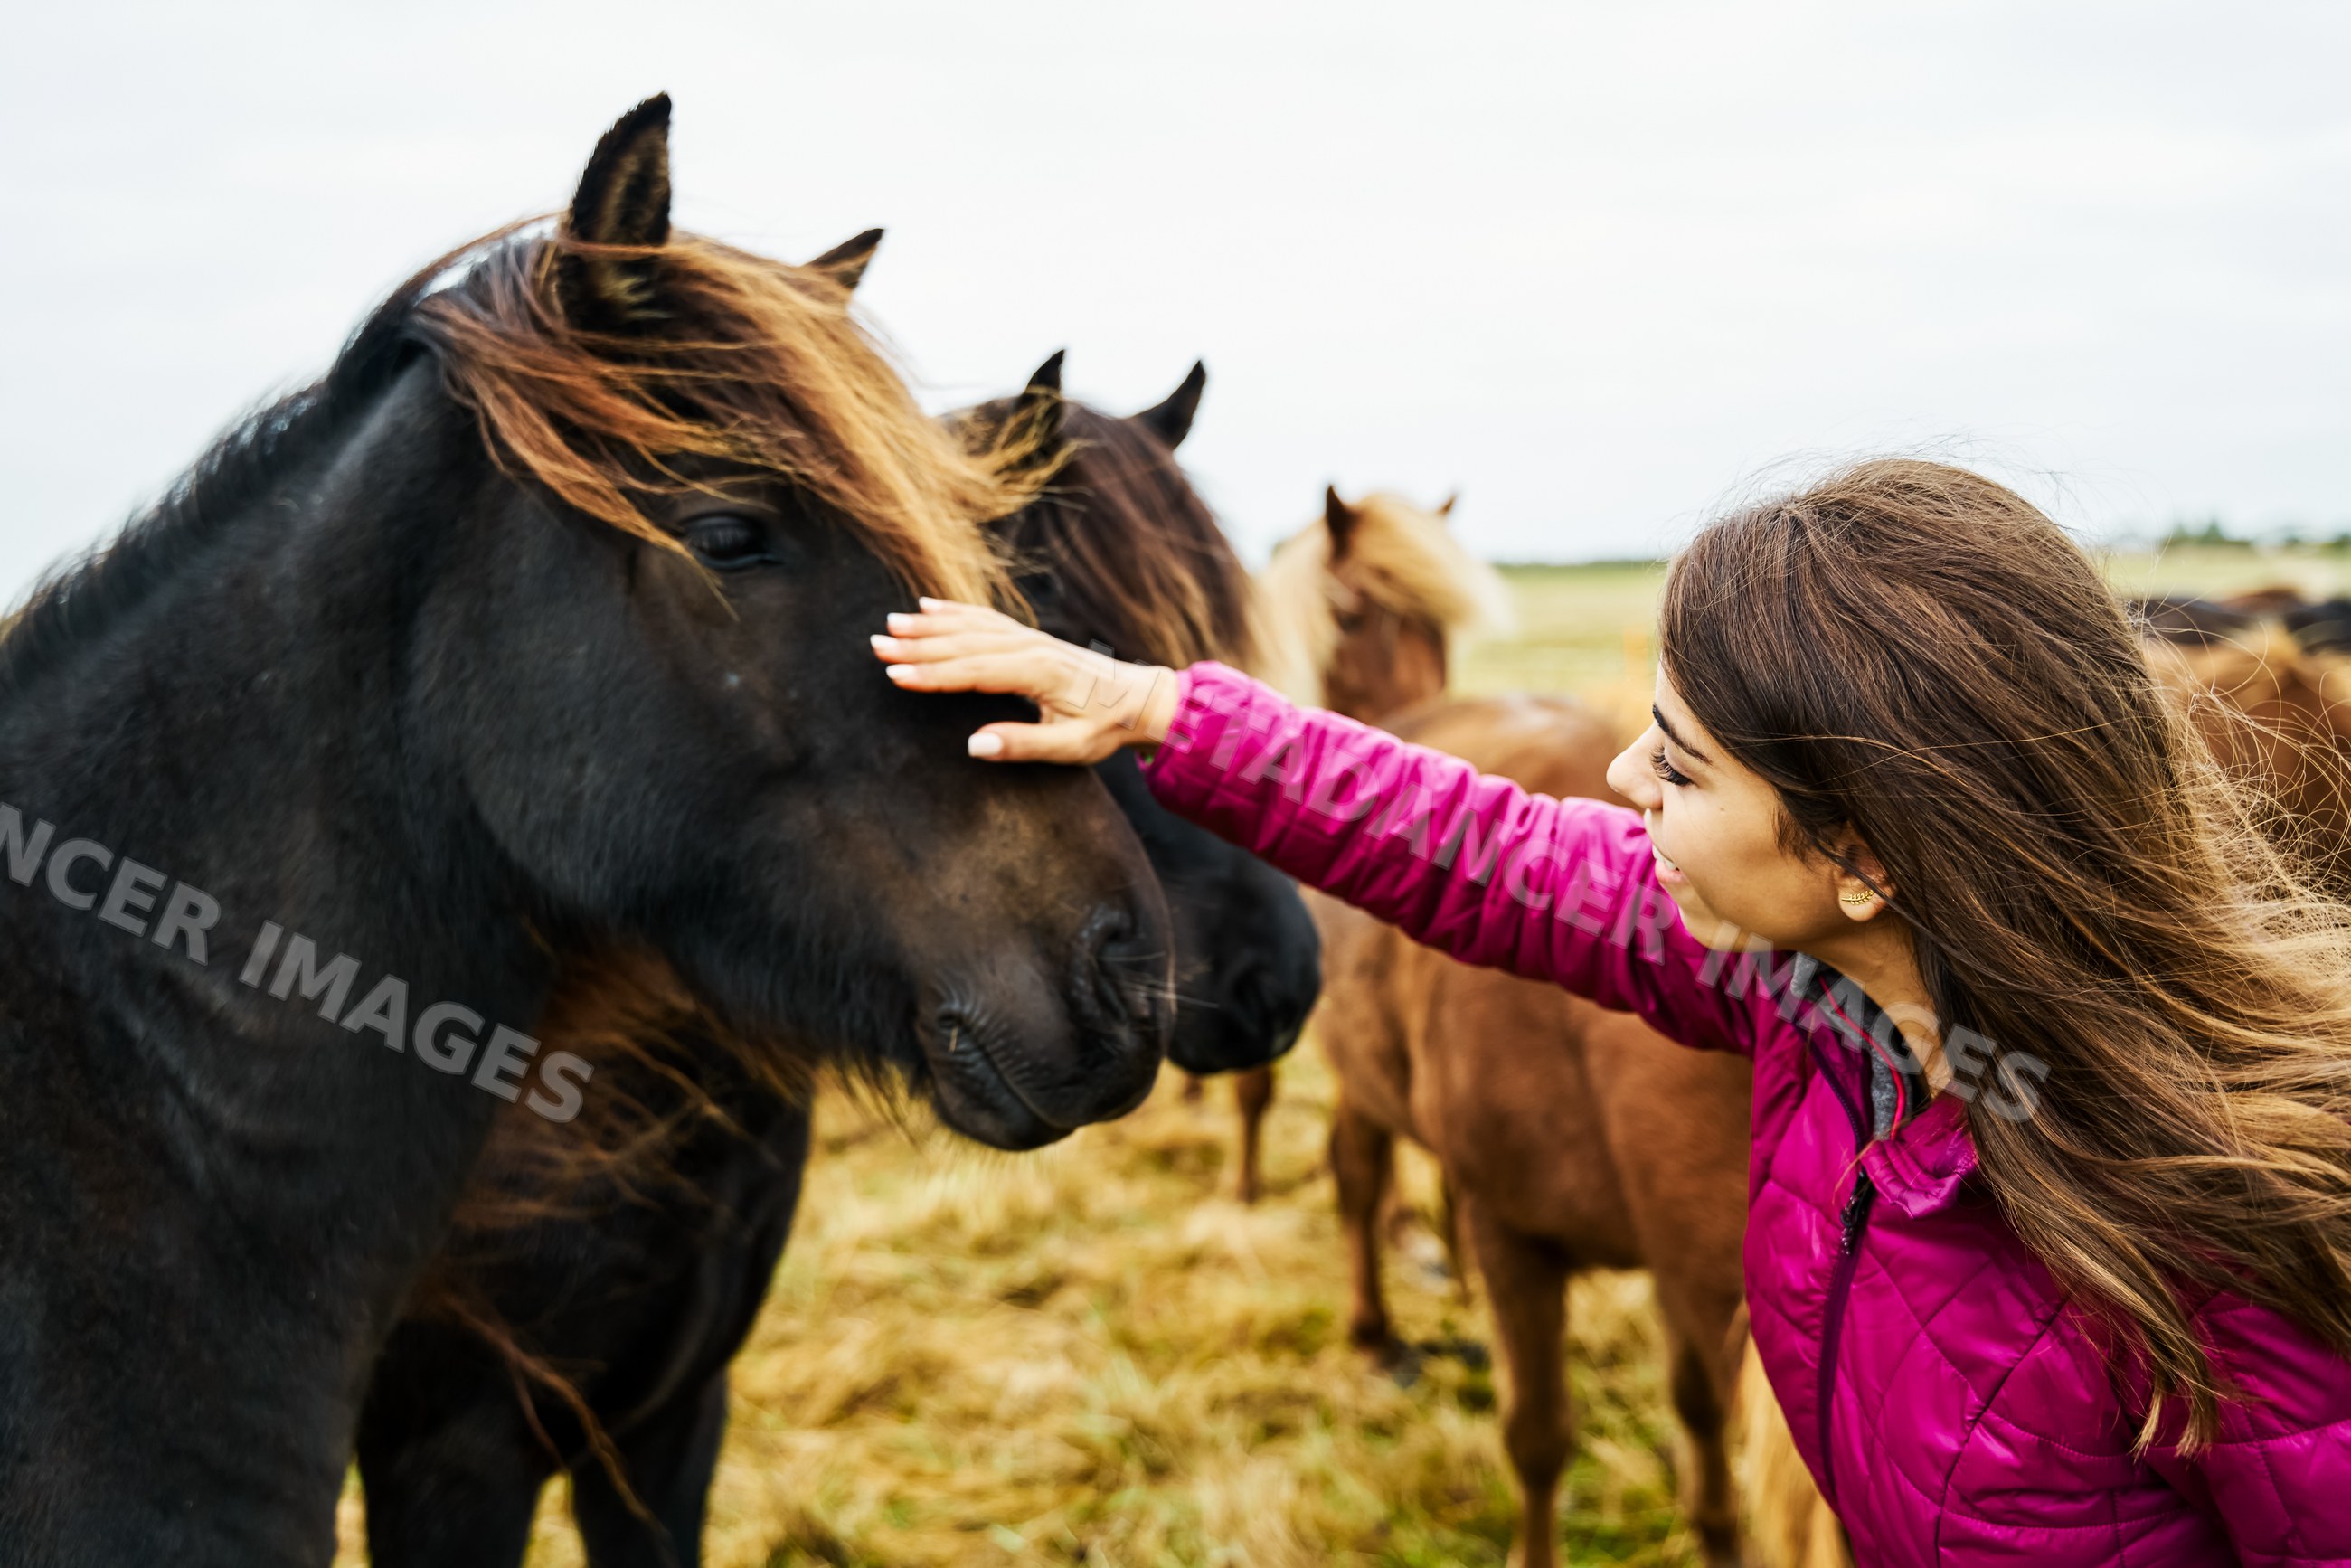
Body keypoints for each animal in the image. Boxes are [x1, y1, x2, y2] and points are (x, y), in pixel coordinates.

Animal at [1255, 488, 1838, 1567]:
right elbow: (1537, 1440)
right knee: (1356, 1175)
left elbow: (1699, 1424)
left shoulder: (1679, 1272)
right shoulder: (1518, 1239)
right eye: (1349, 613)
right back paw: (1376, 1334)